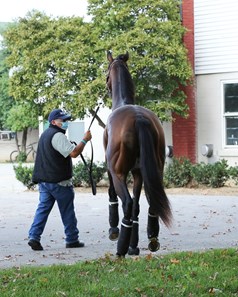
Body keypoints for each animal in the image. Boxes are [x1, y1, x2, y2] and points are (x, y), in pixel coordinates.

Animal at [103, 50, 172, 254]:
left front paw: (114, 230)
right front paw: (134, 245)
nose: (106, 86)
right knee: (147, 204)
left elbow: (112, 194)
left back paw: (120, 249)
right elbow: (137, 206)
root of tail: (139, 118)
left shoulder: (110, 169)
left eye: (106, 74)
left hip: (118, 173)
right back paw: (150, 239)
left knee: (126, 203)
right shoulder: (138, 173)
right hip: (155, 171)